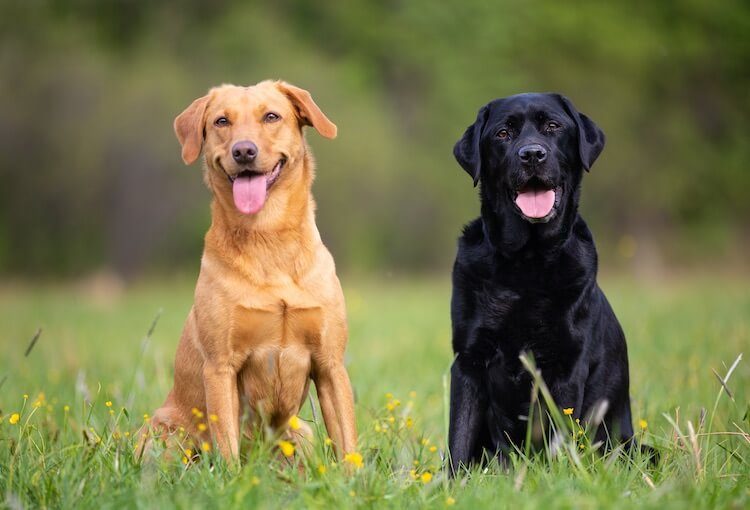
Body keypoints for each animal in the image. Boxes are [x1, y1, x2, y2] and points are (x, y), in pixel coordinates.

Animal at [150, 79, 358, 462]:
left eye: (271, 116)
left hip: (301, 432)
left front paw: (354, 477)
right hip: (164, 432)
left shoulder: (330, 364)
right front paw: (232, 477)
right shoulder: (221, 366)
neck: (268, 237)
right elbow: (227, 445)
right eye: (221, 121)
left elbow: (347, 442)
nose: (243, 151)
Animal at [450, 92, 636, 474]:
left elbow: (558, 434)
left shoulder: (566, 364)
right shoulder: (467, 361)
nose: (532, 154)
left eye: (553, 126)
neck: (526, 263)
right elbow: (458, 439)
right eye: (503, 133)